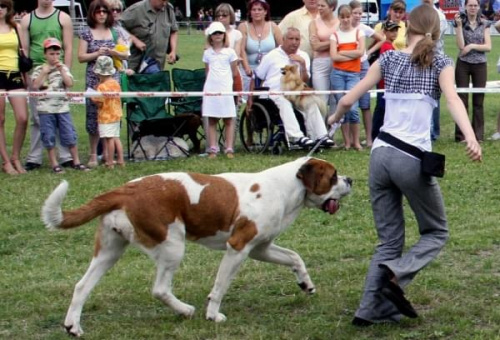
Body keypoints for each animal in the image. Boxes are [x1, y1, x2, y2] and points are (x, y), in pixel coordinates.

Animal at [42, 157, 352, 338]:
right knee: (160, 289)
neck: (286, 187)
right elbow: (220, 286)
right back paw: (185, 310)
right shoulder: (238, 247)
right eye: (333, 176)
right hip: (172, 246)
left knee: (82, 286)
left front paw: (306, 284)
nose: (350, 179)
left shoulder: (260, 248)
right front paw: (213, 314)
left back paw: (73, 326)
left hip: (109, 251)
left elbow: (294, 257)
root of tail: (124, 190)